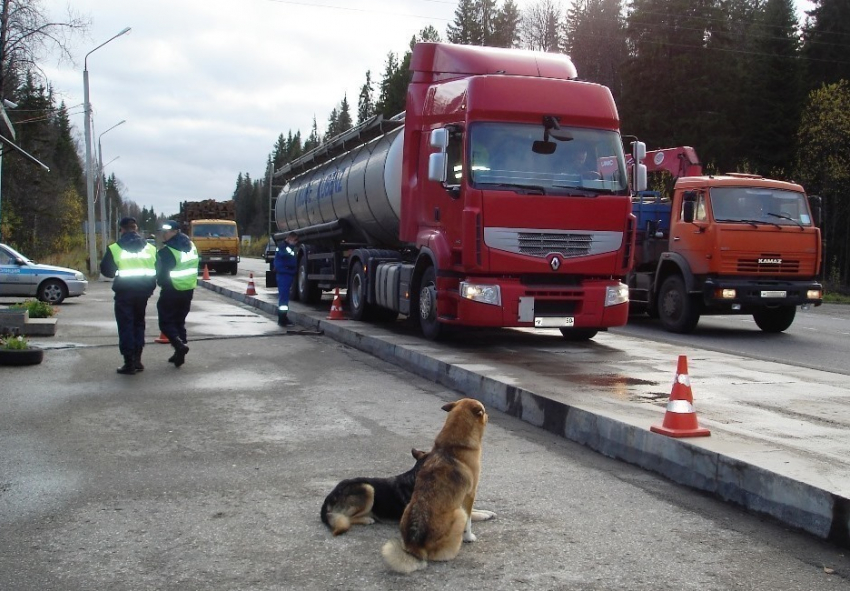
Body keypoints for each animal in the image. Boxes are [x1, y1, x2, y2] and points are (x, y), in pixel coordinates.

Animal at [380, 398, 486, 572]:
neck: (452, 445)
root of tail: (416, 546)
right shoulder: (470, 494)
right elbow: (470, 519)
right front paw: (469, 537)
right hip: (458, 514)